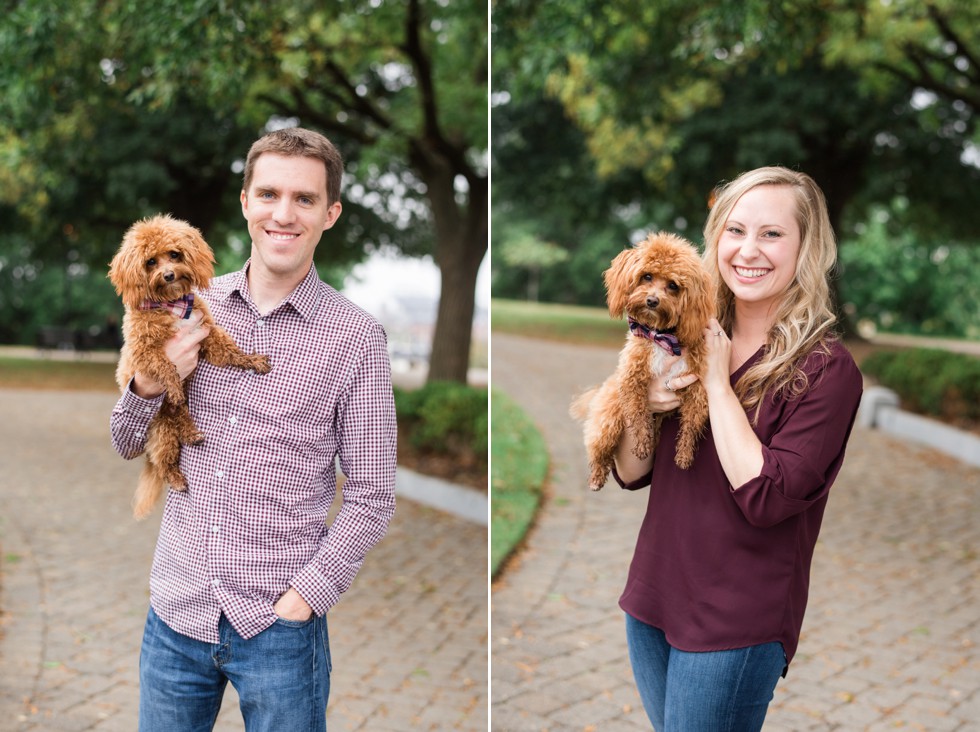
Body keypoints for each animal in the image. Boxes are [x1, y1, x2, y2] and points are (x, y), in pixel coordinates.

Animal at [109, 214, 270, 516]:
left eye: (175, 254)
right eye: (150, 262)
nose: (169, 275)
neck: (172, 305)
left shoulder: (207, 334)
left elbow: (230, 350)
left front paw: (252, 360)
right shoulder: (143, 351)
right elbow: (166, 365)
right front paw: (172, 384)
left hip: (172, 419)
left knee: (182, 415)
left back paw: (193, 434)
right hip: (161, 430)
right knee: (164, 460)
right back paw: (176, 475)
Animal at [568, 232, 712, 488]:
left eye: (673, 285)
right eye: (647, 276)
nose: (652, 300)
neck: (660, 337)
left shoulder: (696, 388)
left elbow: (691, 425)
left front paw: (684, 455)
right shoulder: (631, 378)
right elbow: (638, 413)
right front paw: (643, 444)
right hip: (608, 418)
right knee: (600, 449)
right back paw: (596, 477)